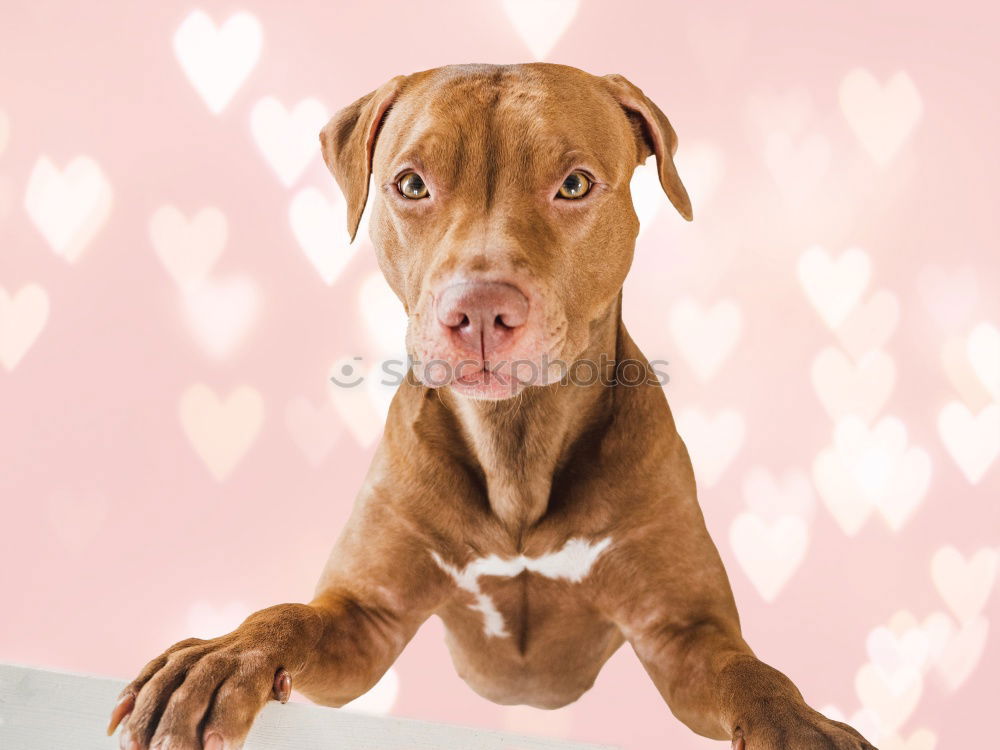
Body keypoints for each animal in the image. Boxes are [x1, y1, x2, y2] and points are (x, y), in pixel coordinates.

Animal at [107, 64, 876, 750]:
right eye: (411, 184)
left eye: (575, 184)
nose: (478, 310)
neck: (516, 444)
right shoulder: (363, 619)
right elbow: (290, 616)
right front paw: (222, 656)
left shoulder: (683, 632)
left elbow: (751, 673)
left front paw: (800, 726)